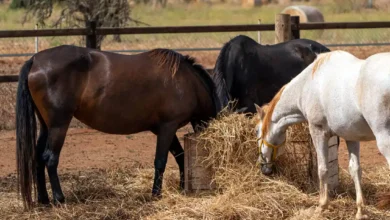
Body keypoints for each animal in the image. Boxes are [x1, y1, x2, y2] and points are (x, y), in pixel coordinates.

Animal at [16, 45, 222, 209]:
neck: (186, 81)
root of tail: (35, 60)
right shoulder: (167, 127)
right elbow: (160, 161)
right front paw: (156, 194)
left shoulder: (165, 130)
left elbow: (180, 157)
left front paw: (180, 188)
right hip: (59, 125)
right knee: (50, 158)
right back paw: (59, 199)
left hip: (46, 126)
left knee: (38, 158)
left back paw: (44, 200)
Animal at [254, 50, 390, 219]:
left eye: (256, 131)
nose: (264, 168)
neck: (307, 85)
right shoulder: (351, 137)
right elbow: (355, 170)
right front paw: (360, 210)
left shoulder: (317, 131)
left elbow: (322, 169)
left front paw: (322, 205)